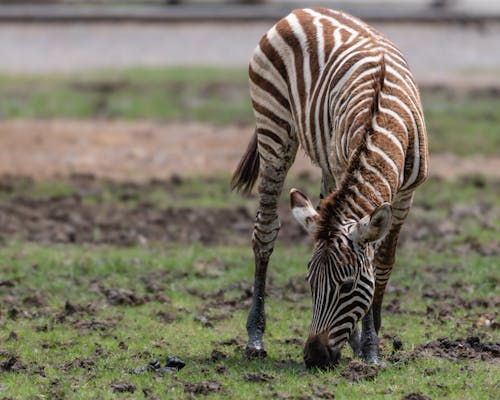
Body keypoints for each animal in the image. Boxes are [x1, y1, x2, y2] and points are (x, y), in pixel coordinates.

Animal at [232, 7, 428, 368]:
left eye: (349, 286)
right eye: (309, 282)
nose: (314, 357)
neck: (382, 120)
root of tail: (302, 10)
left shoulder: (406, 195)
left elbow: (383, 261)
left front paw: (371, 341)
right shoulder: (342, 171)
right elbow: (369, 250)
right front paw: (368, 346)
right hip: (274, 128)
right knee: (264, 231)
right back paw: (255, 337)